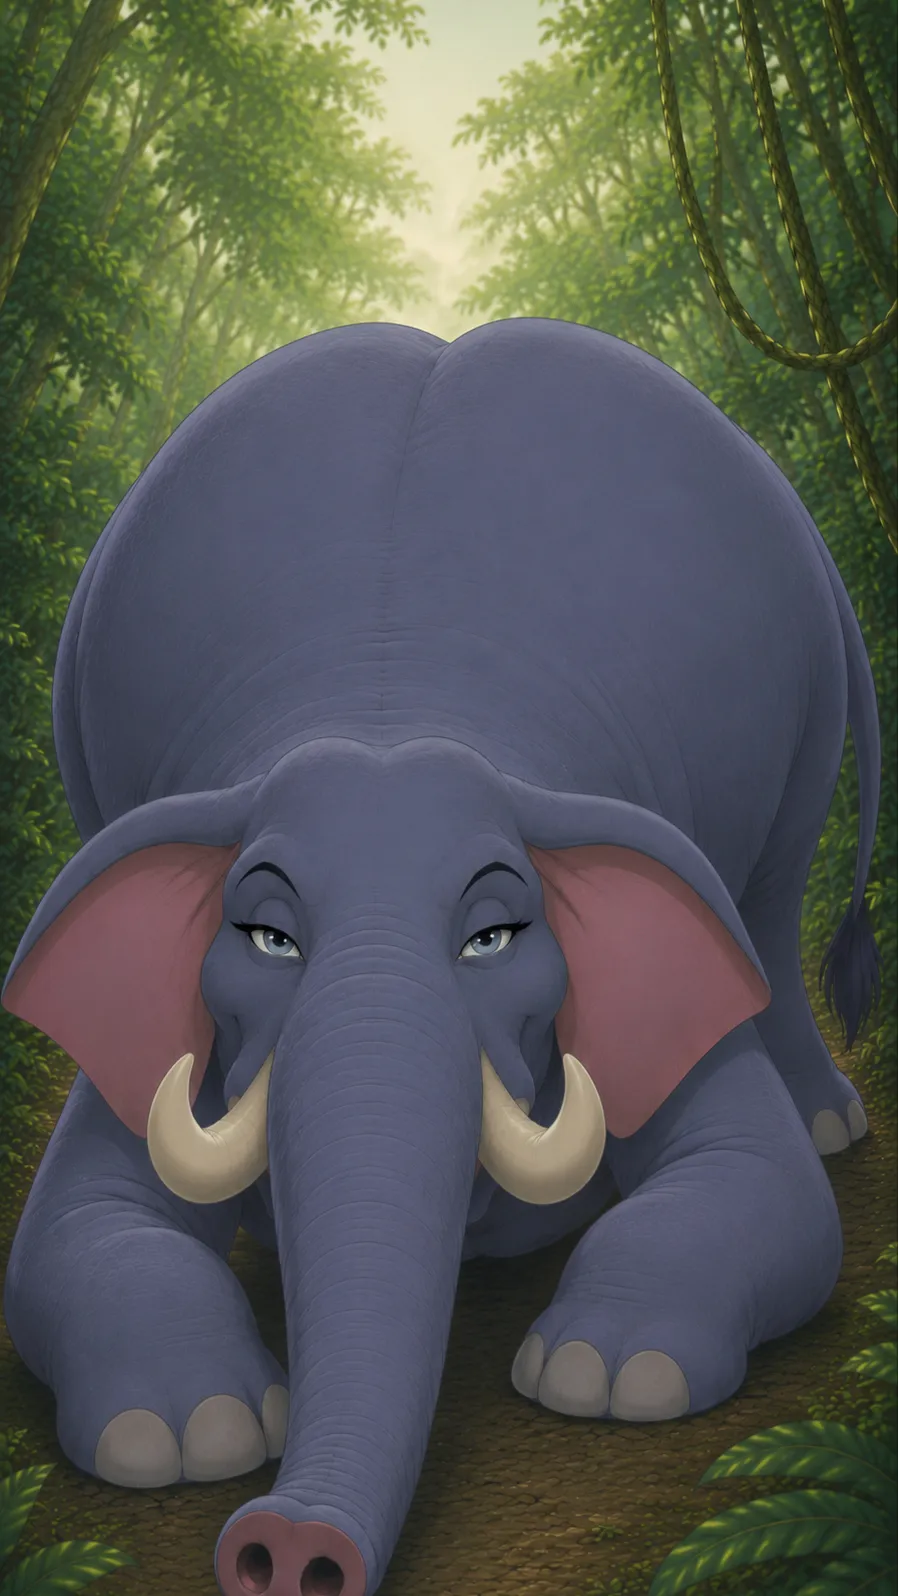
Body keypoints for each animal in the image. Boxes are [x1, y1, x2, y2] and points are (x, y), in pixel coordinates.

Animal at [1, 317, 881, 1596]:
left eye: (492, 936)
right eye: (266, 936)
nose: (285, 1547)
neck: (394, 704)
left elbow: (764, 1186)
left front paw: (606, 1370)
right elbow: (71, 1230)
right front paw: (183, 1434)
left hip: (804, 734)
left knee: (766, 909)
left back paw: (828, 1123)